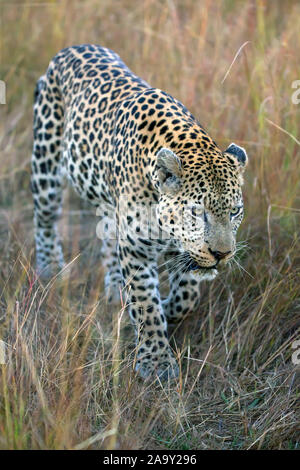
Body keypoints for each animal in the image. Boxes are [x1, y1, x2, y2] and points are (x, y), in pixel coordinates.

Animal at [31, 44, 248, 382]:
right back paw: (51, 268)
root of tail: (72, 48)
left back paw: (115, 289)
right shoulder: (136, 248)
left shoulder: (182, 247)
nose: (222, 254)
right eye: (196, 213)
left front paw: (169, 308)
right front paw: (155, 361)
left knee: (107, 235)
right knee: (44, 219)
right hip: (46, 166)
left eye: (235, 211)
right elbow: (146, 302)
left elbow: (188, 296)